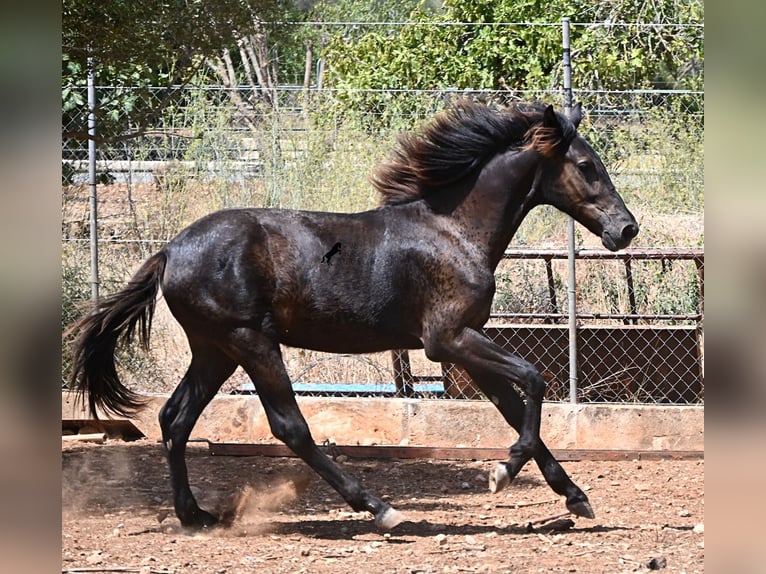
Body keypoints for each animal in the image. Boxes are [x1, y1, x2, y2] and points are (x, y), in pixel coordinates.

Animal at [68, 100, 638, 531]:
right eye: (586, 166)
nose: (627, 229)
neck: (453, 231)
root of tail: (170, 250)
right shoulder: (448, 338)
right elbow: (534, 381)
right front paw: (502, 472)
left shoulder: (465, 343)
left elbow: (514, 407)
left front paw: (575, 495)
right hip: (251, 342)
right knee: (289, 427)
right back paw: (380, 509)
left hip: (215, 349)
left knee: (175, 417)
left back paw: (196, 515)